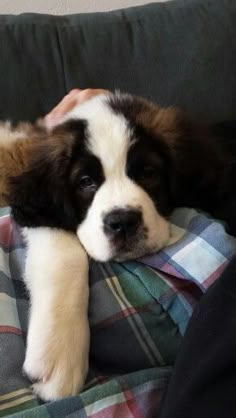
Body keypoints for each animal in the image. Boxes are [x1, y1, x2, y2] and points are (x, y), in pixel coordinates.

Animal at [0, 92, 235, 402]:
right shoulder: (40, 209)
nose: (123, 222)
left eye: (148, 173)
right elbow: (65, 253)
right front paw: (58, 350)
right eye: (86, 182)